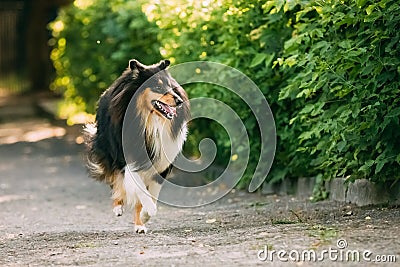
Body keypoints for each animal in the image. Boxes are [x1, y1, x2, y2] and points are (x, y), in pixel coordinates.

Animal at [84, 59, 189, 233]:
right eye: (158, 87)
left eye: (170, 86)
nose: (179, 101)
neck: (150, 122)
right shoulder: (128, 160)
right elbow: (138, 189)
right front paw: (148, 210)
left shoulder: (161, 164)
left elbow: (152, 194)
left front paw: (145, 216)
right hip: (111, 153)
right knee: (115, 179)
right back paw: (118, 207)